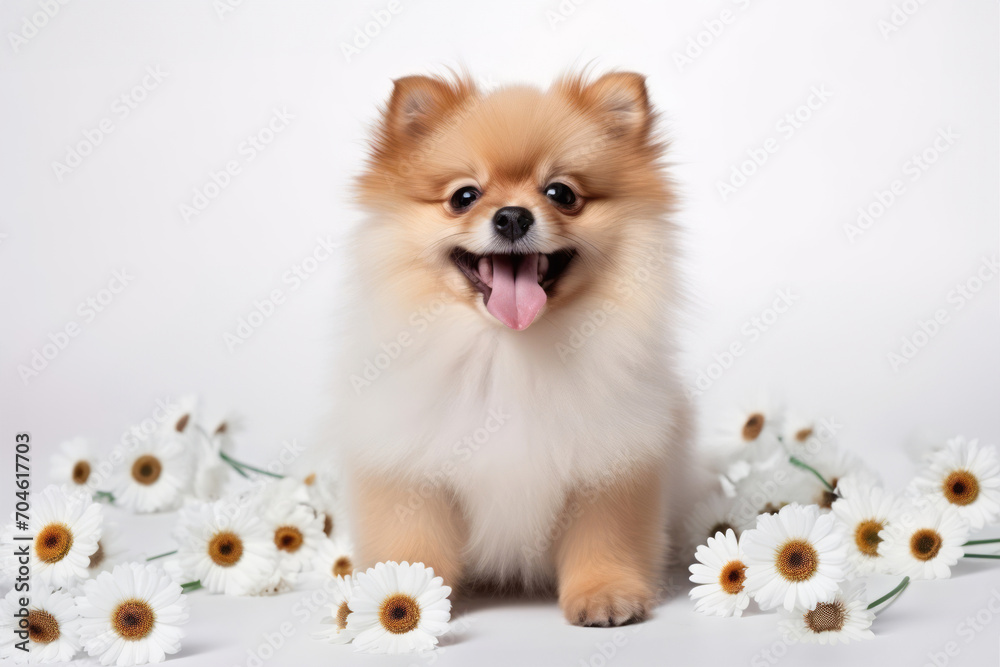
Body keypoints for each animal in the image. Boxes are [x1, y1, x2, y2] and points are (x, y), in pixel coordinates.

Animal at [338, 69, 696, 628]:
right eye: (464, 196)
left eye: (561, 192)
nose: (511, 217)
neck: (507, 352)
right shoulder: (411, 468)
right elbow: (411, 544)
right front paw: (393, 603)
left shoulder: (607, 463)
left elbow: (604, 537)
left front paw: (605, 593)